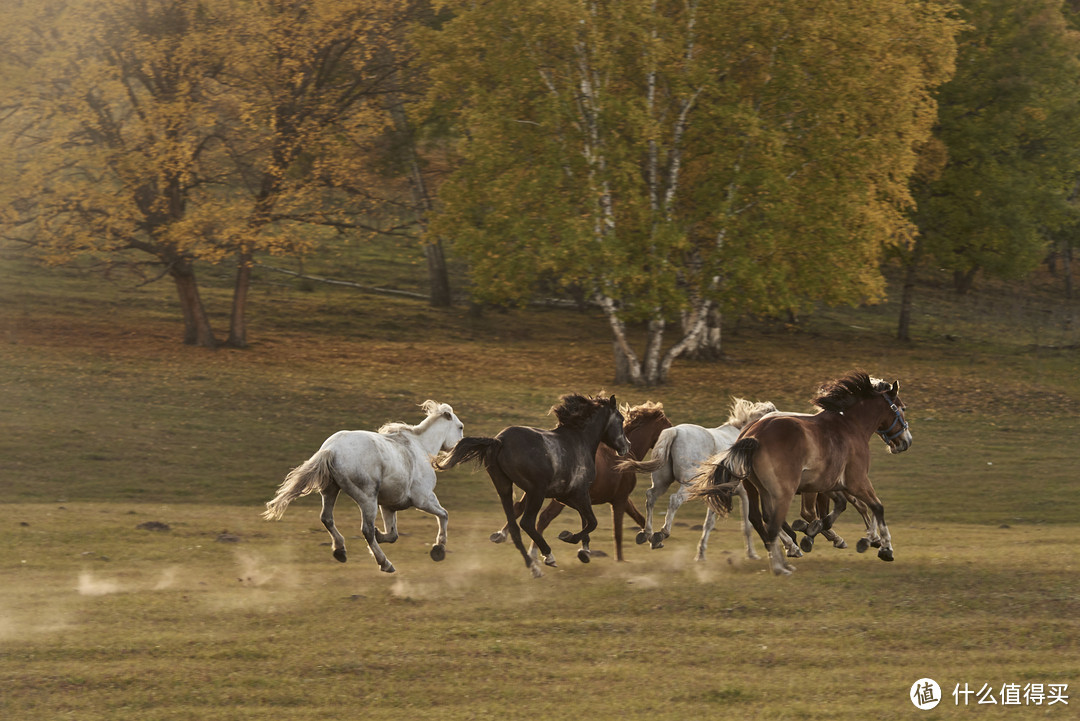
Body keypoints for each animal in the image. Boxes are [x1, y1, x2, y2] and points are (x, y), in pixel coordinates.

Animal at [264, 399, 464, 574]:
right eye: (460, 427)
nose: (456, 448)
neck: (419, 447)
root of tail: (332, 449)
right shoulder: (423, 499)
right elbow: (444, 515)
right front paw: (438, 549)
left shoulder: (389, 506)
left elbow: (393, 534)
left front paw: (380, 534)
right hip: (367, 498)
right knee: (365, 529)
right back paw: (385, 563)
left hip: (331, 490)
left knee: (326, 518)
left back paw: (340, 550)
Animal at [434, 390, 630, 578]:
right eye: (621, 419)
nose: (626, 446)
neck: (579, 440)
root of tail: (500, 441)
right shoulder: (577, 494)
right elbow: (591, 521)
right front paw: (569, 537)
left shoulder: (565, 496)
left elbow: (586, 520)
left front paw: (584, 551)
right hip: (537, 492)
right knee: (527, 522)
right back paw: (548, 556)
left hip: (505, 488)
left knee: (514, 526)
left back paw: (533, 567)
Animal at [492, 403, 673, 561]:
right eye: (668, 427)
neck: (624, 458)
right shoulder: (618, 500)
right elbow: (616, 530)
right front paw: (620, 558)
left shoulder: (611, 499)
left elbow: (636, 516)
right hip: (550, 496)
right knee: (543, 517)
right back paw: (537, 553)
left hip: (535, 492)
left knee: (519, 508)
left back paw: (501, 536)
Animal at [622, 399, 799, 561]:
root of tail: (674, 432)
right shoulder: (746, 494)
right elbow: (751, 523)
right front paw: (761, 552)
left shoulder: (715, 494)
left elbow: (708, 524)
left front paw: (701, 554)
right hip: (689, 484)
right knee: (674, 500)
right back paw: (662, 533)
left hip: (662, 482)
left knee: (651, 496)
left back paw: (649, 535)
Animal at [686, 371, 907, 574]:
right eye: (903, 408)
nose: (906, 441)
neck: (850, 426)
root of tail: (752, 435)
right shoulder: (856, 481)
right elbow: (875, 507)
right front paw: (884, 547)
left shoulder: (830, 484)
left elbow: (843, 507)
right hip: (783, 492)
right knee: (771, 522)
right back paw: (781, 563)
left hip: (760, 489)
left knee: (762, 518)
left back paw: (786, 554)